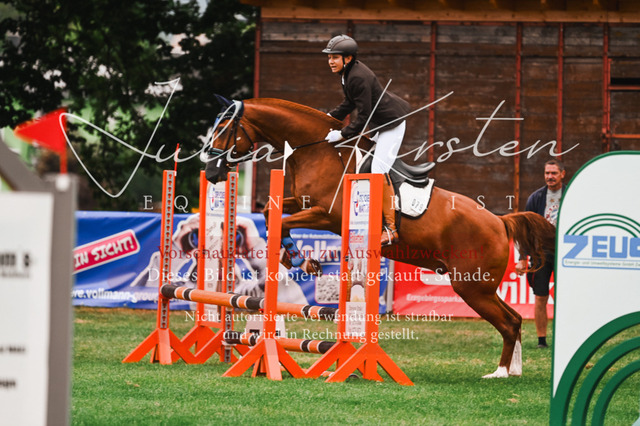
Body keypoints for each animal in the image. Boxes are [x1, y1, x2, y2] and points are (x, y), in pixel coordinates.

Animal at [203, 96, 556, 379]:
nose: (212, 173)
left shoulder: (327, 215)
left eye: (225, 129)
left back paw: (499, 373)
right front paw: (295, 258)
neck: (318, 150)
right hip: (480, 286)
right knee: (514, 319)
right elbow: (269, 212)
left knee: (508, 323)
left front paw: (302, 260)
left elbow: (284, 223)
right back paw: (514, 370)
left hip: (472, 286)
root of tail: (500, 221)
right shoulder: (304, 204)